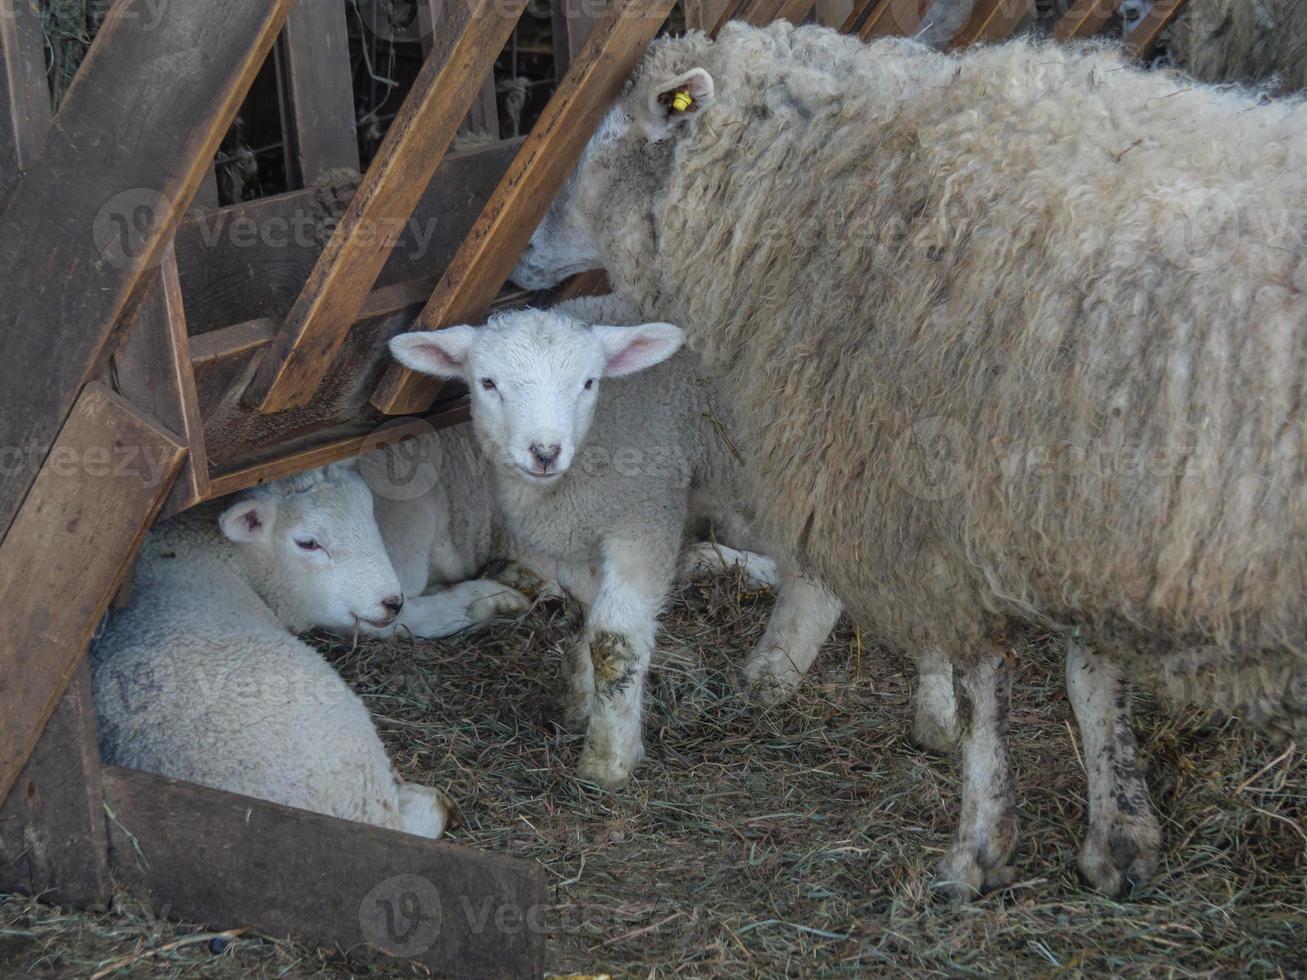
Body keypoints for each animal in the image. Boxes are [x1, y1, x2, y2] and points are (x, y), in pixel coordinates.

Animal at [386, 294, 841, 789]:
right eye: (487, 383)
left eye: (589, 382)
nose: (544, 453)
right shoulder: (577, 534)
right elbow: (580, 614)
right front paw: (575, 705)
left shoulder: (643, 515)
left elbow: (613, 639)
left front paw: (608, 759)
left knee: (817, 578)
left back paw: (774, 672)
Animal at [504, 21, 1307, 898]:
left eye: (595, 143)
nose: (518, 258)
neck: (837, 178)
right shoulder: (1080, 511)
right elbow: (1091, 671)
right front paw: (1119, 837)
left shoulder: (945, 506)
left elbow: (984, 680)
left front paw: (977, 847)